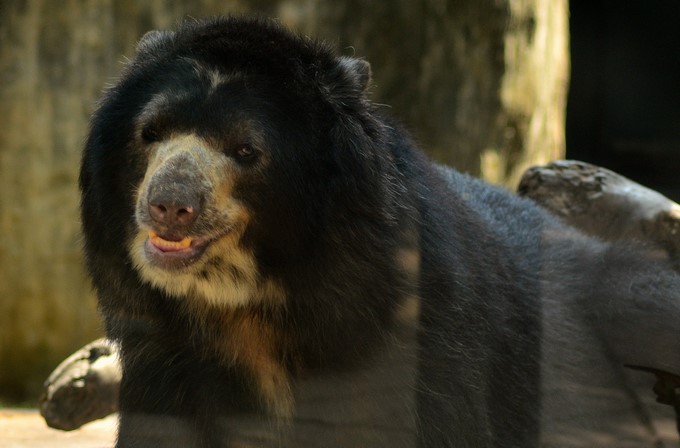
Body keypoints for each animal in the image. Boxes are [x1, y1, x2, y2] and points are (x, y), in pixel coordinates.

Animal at [79, 16, 680, 447]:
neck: (245, 306)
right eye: (150, 133)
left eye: (245, 150)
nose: (169, 204)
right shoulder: (164, 361)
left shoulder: (413, 342)